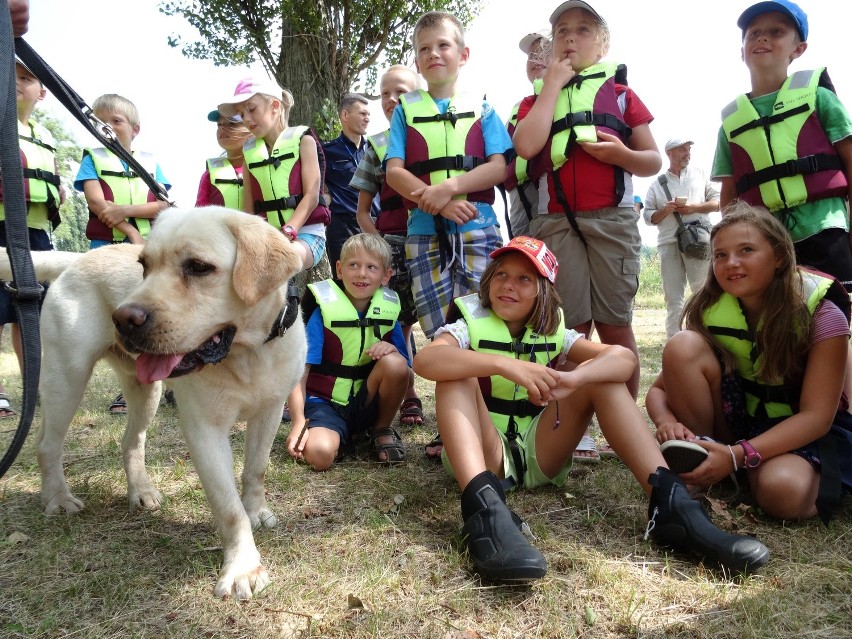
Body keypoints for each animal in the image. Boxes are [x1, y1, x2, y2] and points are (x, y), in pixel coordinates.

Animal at [4, 206, 306, 600]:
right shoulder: (204, 432)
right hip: (66, 378)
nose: (123, 318)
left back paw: (141, 492)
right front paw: (243, 566)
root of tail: (77, 259)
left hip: (145, 390)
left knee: (130, 442)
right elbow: (228, 508)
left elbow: (256, 470)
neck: (246, 354)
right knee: (46, 445)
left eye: (198, 266)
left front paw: (256, 511)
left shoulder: (269, 412)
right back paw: (57, 499)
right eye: (144, 266)